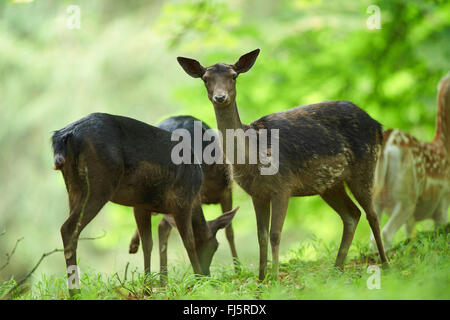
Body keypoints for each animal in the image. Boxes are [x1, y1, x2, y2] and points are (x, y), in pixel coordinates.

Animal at [127, 115, 239, 276]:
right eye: (215, 245)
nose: (206, 273)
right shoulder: (225, 190)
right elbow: (229, 231)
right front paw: (238, 269)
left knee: (160, 225)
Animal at [178, 48, 388, 278]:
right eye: (205, 79)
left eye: (233, 76)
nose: (220, 97)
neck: (253, 160)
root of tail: (378, 125)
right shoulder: (257, 193)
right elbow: (261, 236)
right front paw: (261, 278)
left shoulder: (283, 186)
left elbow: (275, 234)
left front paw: (276, 278)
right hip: (329, 184)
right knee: (352, 214)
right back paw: (337, 268)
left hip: (365, 164)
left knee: (372, 214)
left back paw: (385, 263)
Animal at [372, 73, 450, 248]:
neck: (445, 147)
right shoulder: (443, 201)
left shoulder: (413, 218)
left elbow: (410, 234)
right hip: (406, 194)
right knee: (387, 233)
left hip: (376, 197)